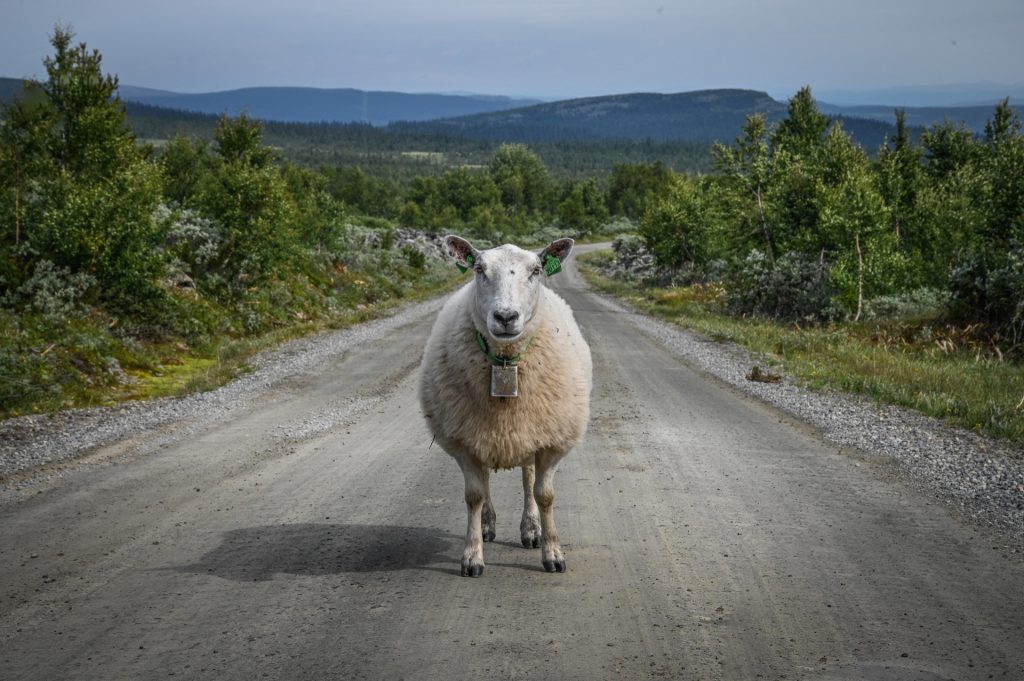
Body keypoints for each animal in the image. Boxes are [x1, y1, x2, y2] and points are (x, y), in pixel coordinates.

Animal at [417, 236, 593, 577]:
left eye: (536, 270)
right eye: (479, 269)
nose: (506, 317)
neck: (505, 362)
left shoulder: (551, 440)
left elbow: (544, 494)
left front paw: (553, 553)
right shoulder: (464, 441)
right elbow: (474, 496)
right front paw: (472, 556)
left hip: (529, 431)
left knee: (527, 479)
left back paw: (531, 529)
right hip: (481, 430)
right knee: (486, 482)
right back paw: (487, 526)